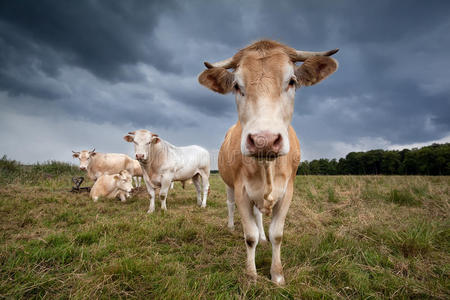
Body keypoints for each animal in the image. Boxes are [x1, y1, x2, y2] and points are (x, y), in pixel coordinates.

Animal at [199, 39, 340, 284]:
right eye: (237, 86)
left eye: (292, 81)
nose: (263, 140)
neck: (266, 167)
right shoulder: (241, 190)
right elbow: (249, 236)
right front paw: (251, 276)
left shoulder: (287, 192)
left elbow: (277, 234)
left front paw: (277, 274)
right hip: (228, 184)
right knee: (230, 205)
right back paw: (230, 226)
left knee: (259, 217)